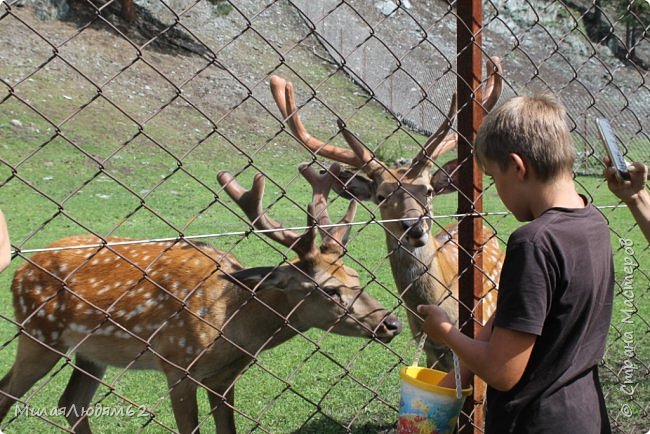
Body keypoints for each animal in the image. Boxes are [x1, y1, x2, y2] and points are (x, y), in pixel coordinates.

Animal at [0, 164, 400, 434]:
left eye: (356, 277)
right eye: (328, 289)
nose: (390, 322)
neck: (235, 327)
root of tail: (20, 271)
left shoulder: (225, 378)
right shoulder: (177, 363)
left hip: (90, 352)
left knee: (71, 403)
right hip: (39, 334)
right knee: (9, 393)